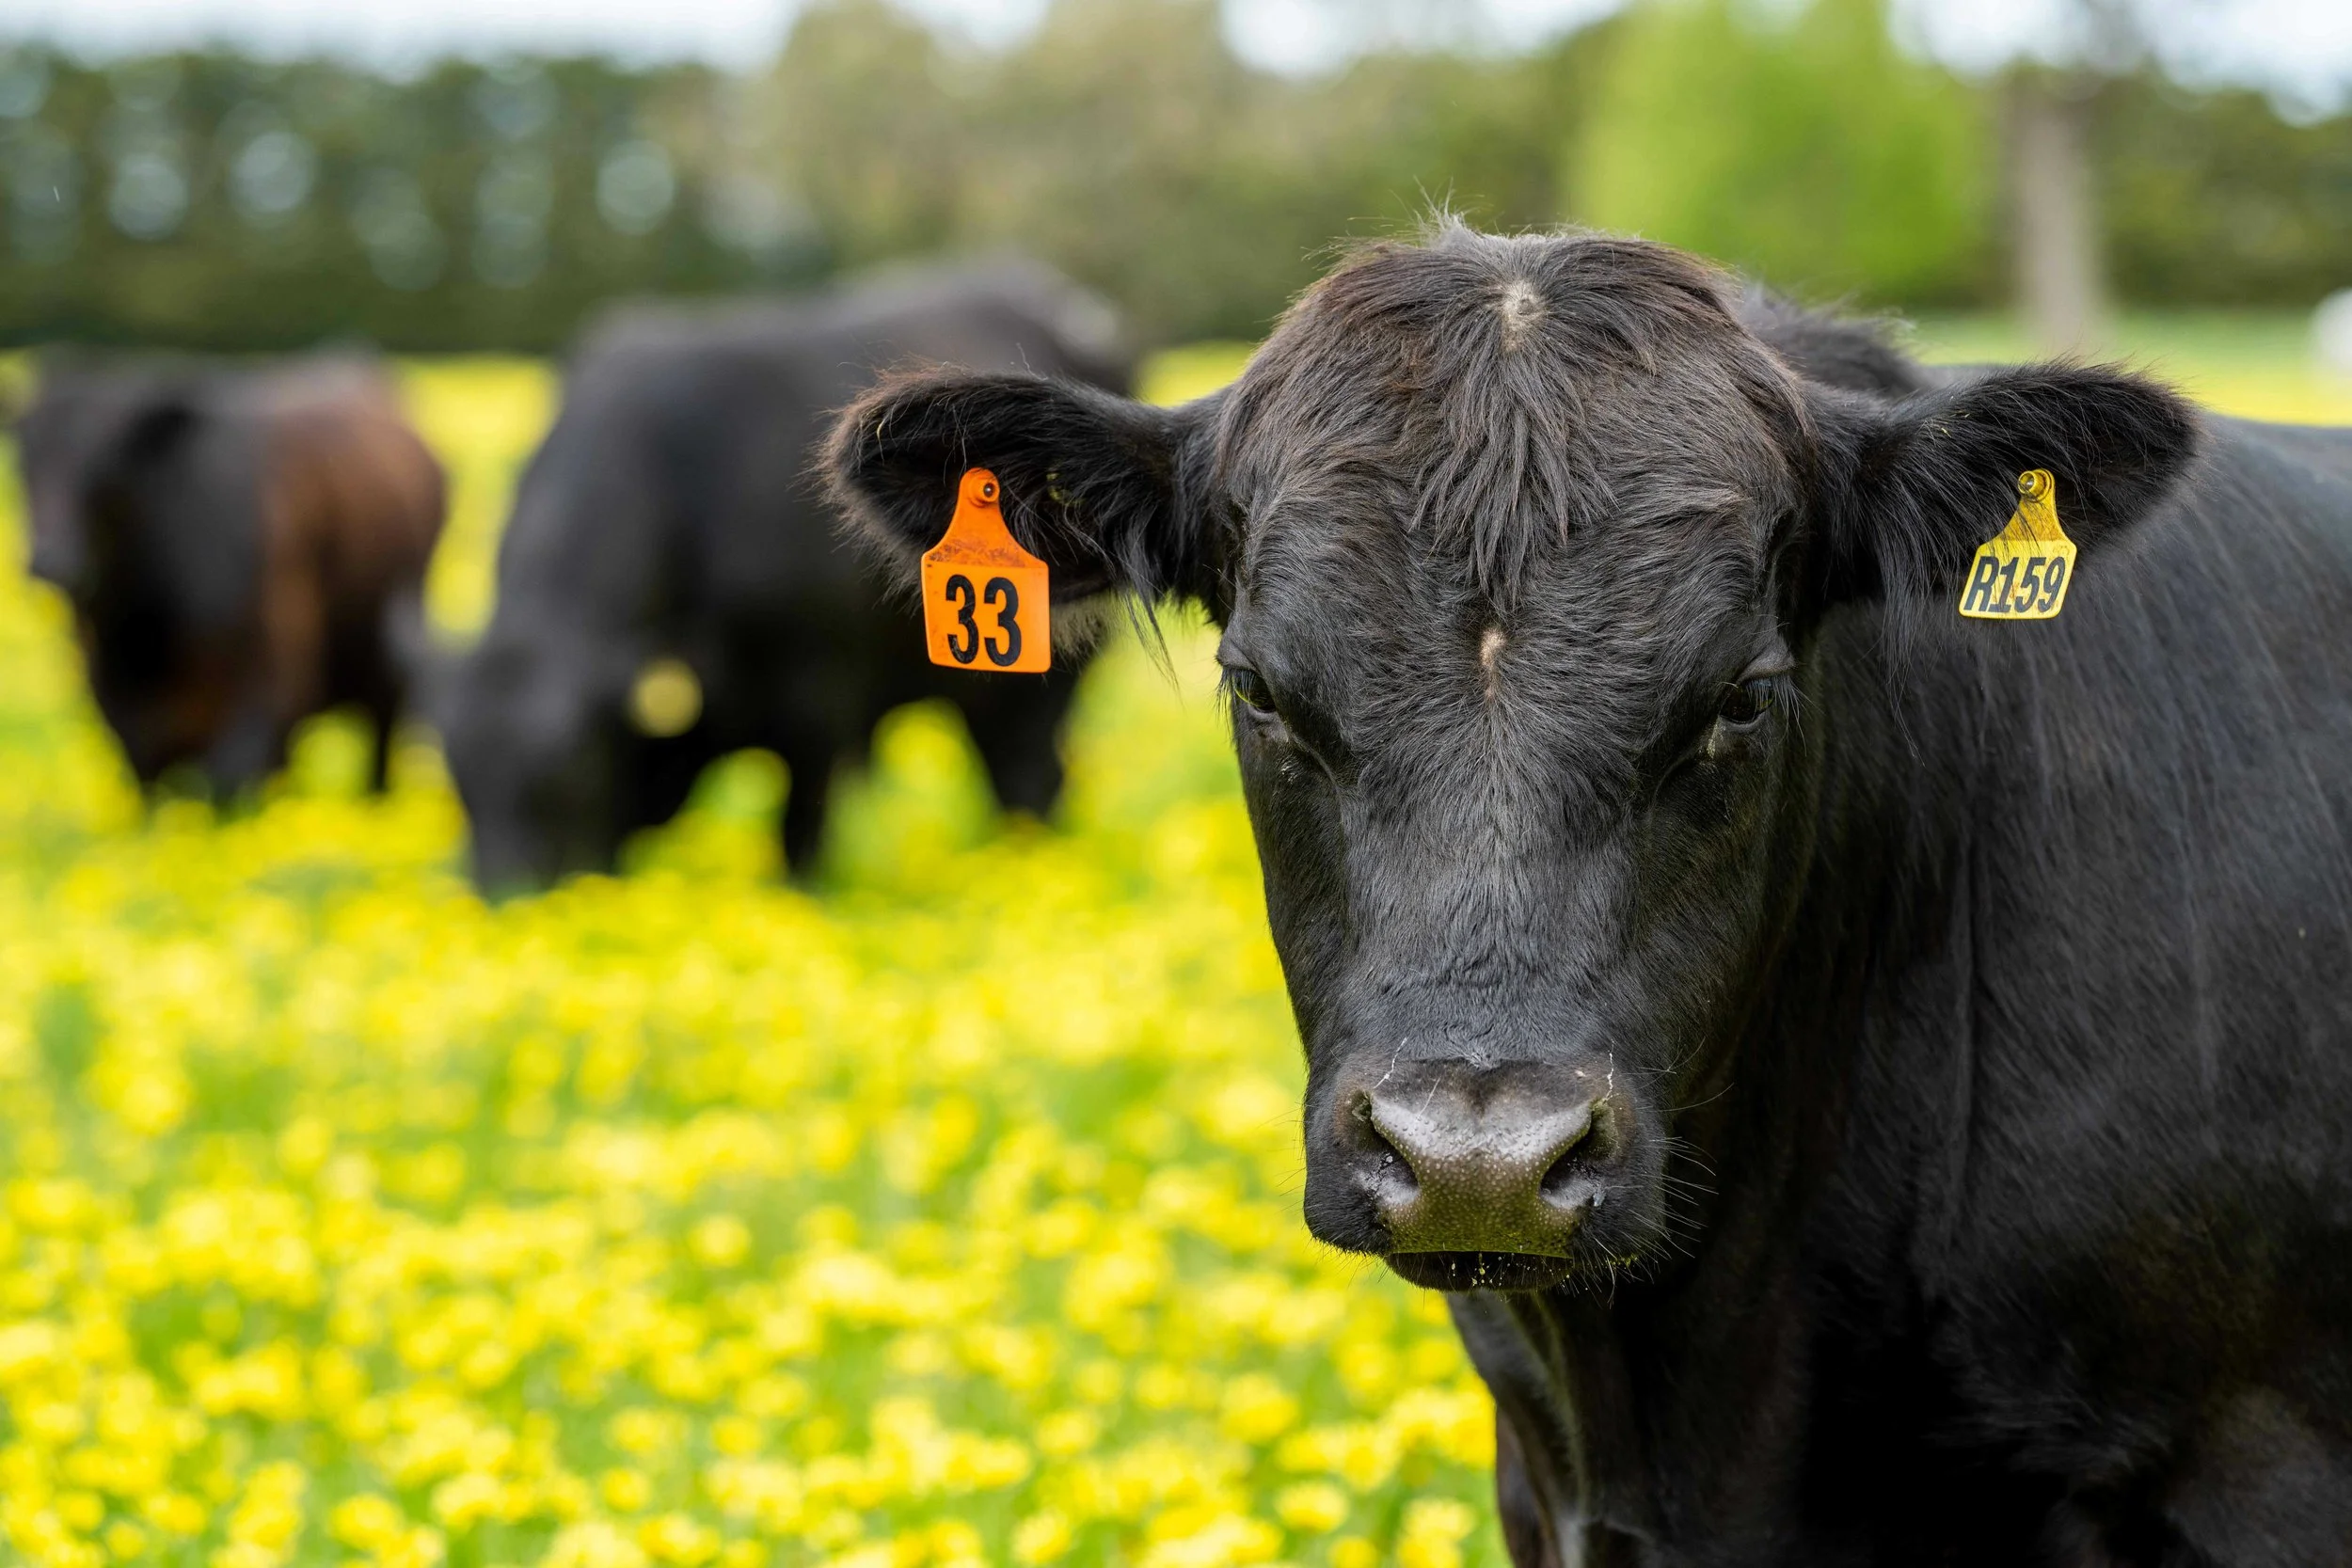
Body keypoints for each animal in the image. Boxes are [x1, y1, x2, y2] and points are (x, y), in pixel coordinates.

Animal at [14, 357, 445, 797]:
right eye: (23, 462)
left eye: (107, 462)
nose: (51, 561)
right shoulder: (123, 718)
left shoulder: (265, 695)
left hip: (382, 687)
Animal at [440, 260, 1129, 893]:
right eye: (457, 774)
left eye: (571, 767)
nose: (507, 897)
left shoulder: (819, 696)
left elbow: (801, 835)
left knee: (1029, 777)